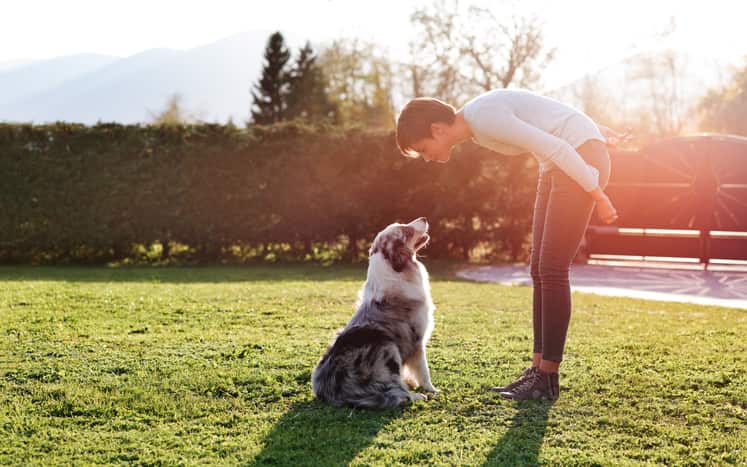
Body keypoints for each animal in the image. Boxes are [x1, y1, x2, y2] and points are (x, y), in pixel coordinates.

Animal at [312, 218, 438, 408]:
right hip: (387, 347)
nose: (424, 218)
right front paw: (431, 389)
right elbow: (423, 370)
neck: (395, 268)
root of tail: (331, 391)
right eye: (406, 231)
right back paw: (415, 396)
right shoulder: (417, 339)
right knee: (394, 389)